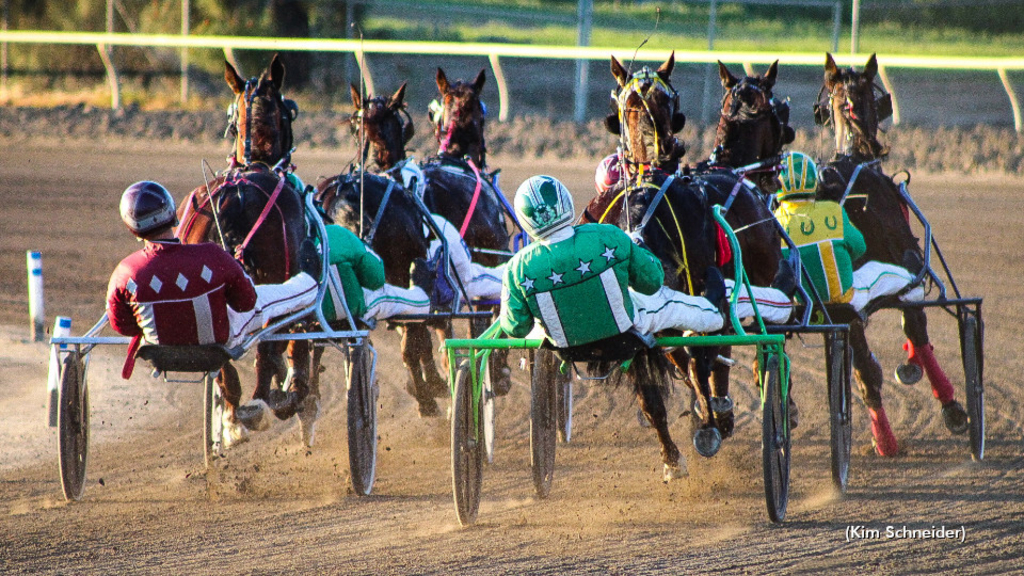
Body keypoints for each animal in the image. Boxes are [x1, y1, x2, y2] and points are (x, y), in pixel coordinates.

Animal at [176, 54, 311, 430]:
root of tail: (234, 197)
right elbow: (289, 343)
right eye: (290, 110)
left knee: (219, 352)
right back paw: (264, 400)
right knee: (268, 345)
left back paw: (234, 406)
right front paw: (292, 388)